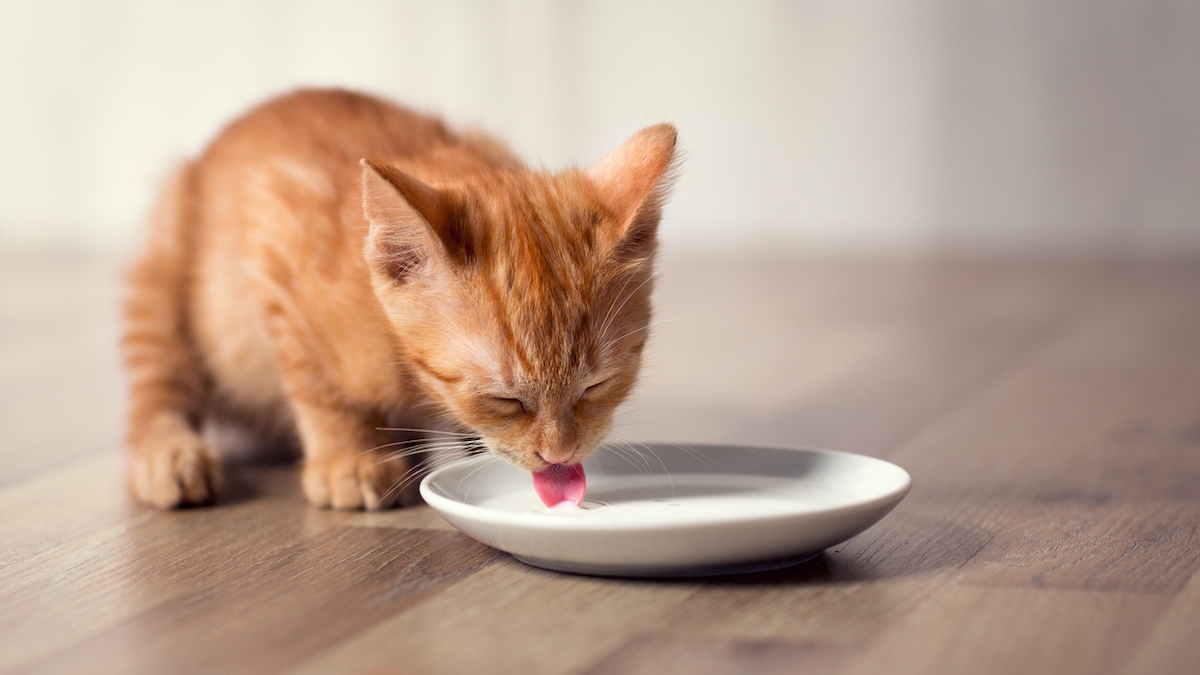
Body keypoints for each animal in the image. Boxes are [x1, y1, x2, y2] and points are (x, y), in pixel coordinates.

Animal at [129, 89, 686, 509]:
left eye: (598, 384)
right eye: (504, 398)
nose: (560, 455)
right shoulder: (273, 233)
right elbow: (315, 382)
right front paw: (348, 456)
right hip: (163, 271)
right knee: (157, 387)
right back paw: (169, 455)